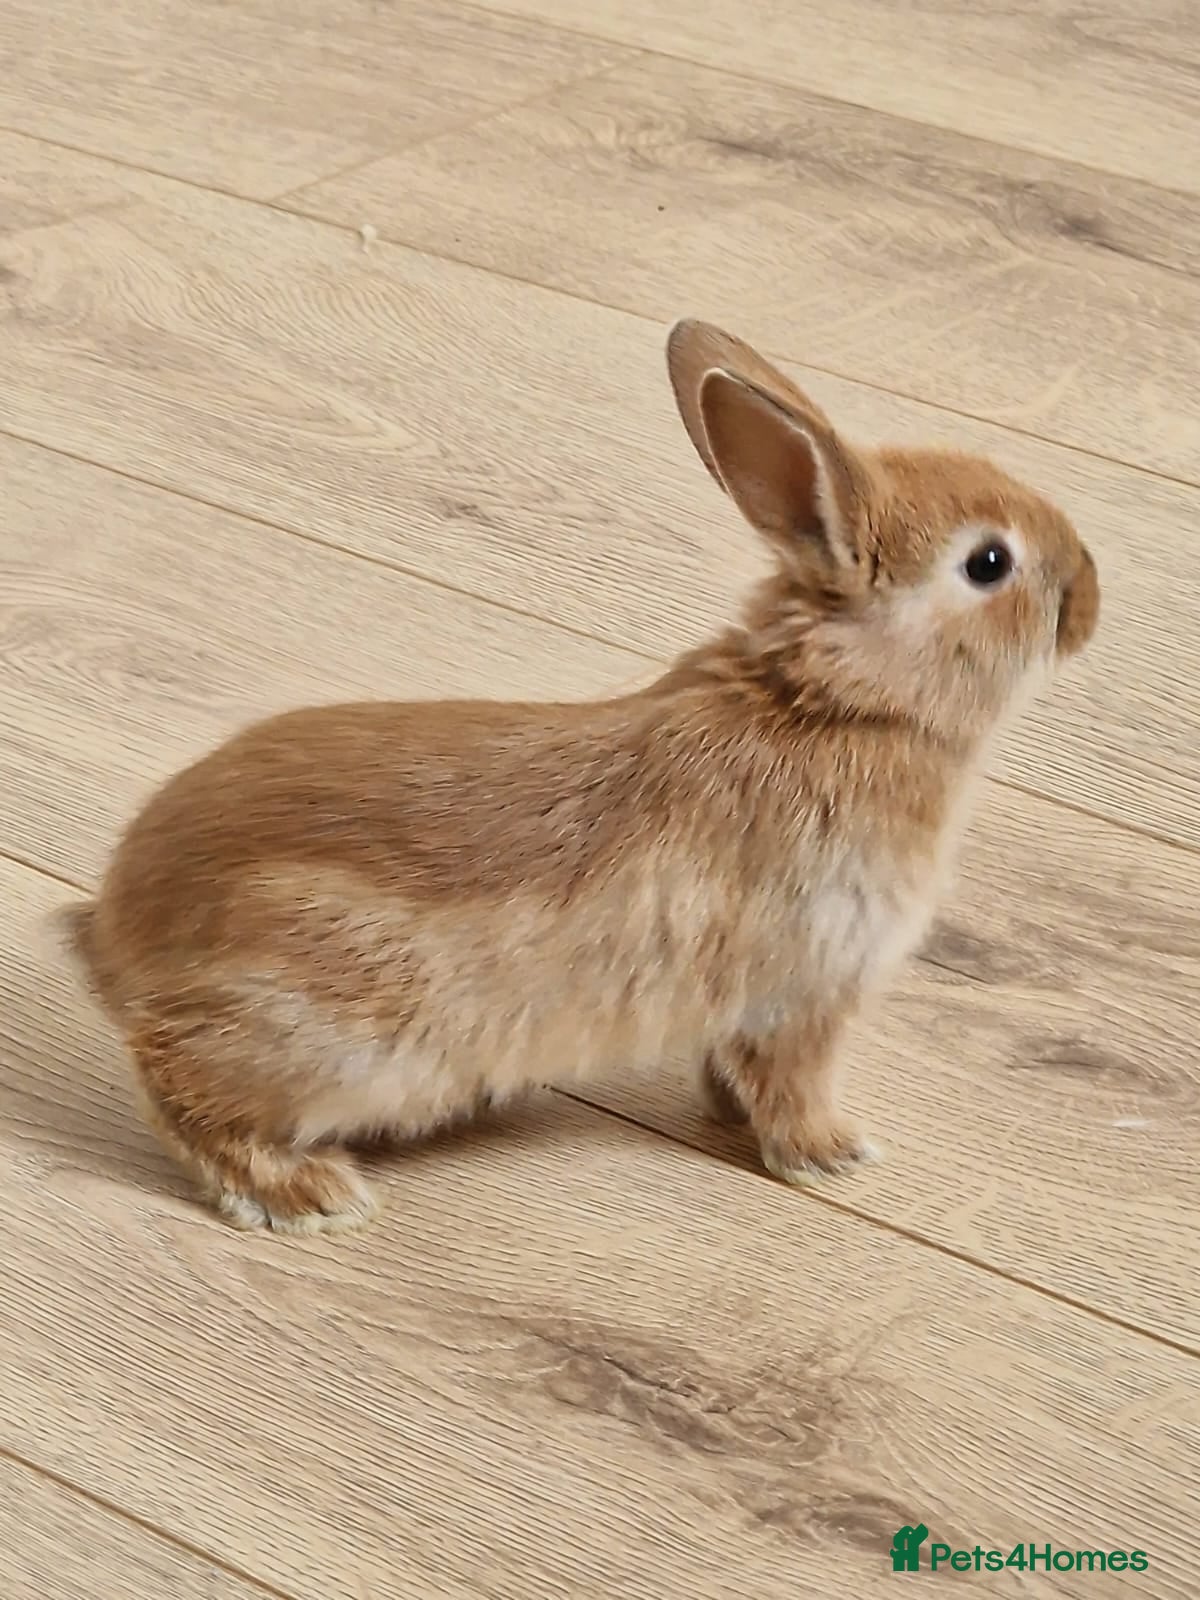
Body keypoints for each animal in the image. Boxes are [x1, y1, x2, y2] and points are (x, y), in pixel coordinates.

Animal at [64, 320, 1099, 1235]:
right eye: (990, 562)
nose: (1088, 594)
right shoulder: (809, 987)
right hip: (322, 1026)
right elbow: (793, 1084)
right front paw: (833, 1153)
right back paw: (309, 1195)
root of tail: (115, 942)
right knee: (180, 1085)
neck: (836, 701)